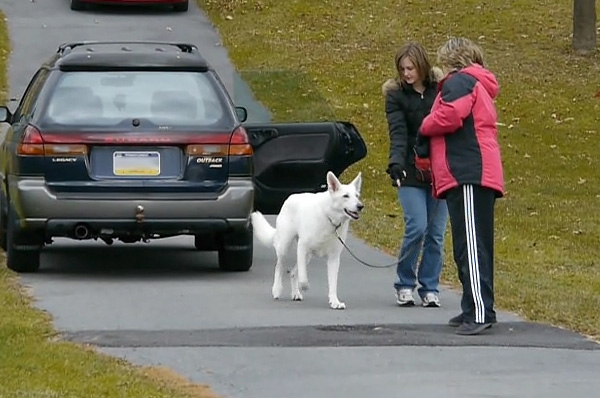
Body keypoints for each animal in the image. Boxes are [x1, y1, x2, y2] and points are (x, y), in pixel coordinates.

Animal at [251, 169, 364, 310]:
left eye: (357, 195)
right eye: (345, 196)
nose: (360, 206)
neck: (330, 219)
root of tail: (290, 198)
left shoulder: (333, 259)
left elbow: (333, 284)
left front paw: (335, 301)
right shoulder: (302, 248)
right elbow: (303, 277)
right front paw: (304, 286)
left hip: (307, 256)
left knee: (293, 272)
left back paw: (295, 293)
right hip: (285, 247)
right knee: (279, 267)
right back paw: (277, 289)